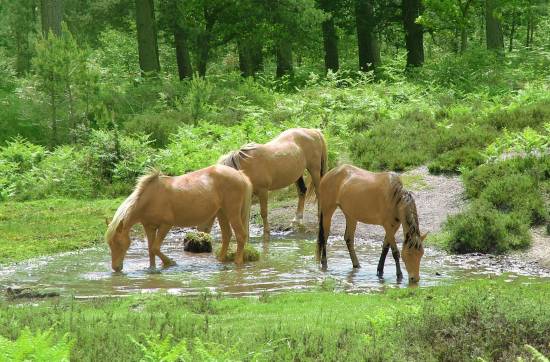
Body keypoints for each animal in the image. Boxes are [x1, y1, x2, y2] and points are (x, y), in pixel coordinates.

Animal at [105, 165, 252, 272]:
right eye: (110, 243)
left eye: (118, 243)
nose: (116, 268)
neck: (149, 199)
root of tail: (240, 174)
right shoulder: (149, 227)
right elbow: (150, 249)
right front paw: (152, 269)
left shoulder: (166, 225)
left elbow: (155, 248)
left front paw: (170, 263)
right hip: (222, 213)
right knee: (227, 235)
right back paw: (220, 261)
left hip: (232, 213)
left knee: (241, 235)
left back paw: (237, 263)